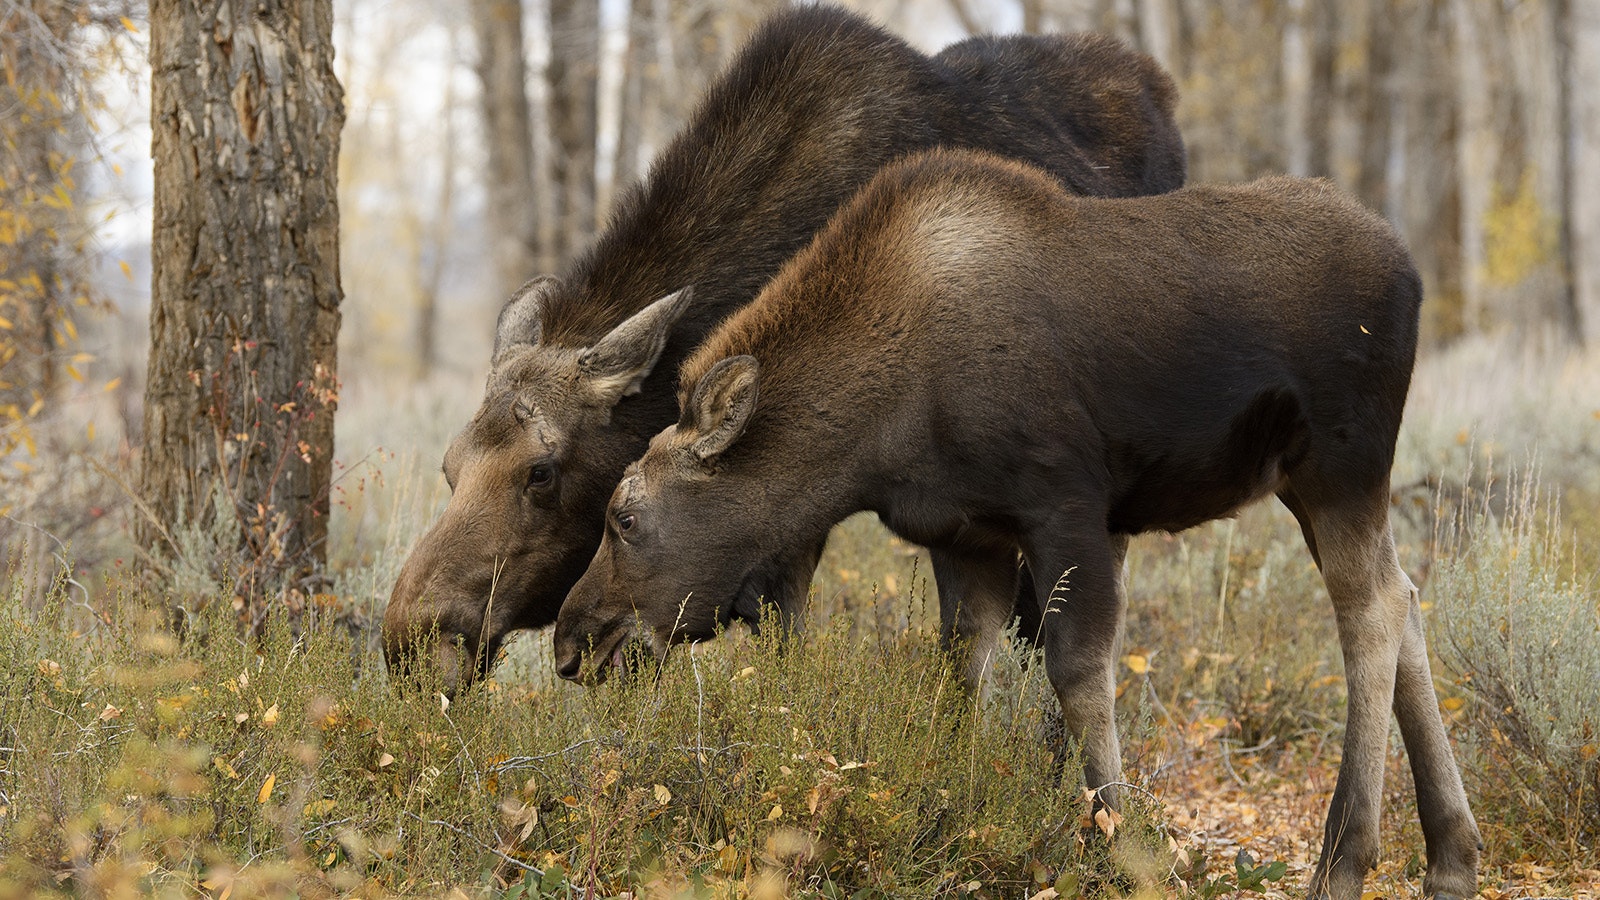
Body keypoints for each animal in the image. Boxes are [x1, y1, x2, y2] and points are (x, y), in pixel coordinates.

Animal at [551, 149, 1481, 900]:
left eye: (624, 516)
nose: (571, 641)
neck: (879, 427)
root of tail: (1412, 271)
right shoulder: (972, 537)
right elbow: (961, 676)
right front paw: (952, 821)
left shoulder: (1064, 504)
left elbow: (1077, 674)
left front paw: (1128, 852)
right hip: (1312, 483)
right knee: (1406, 593)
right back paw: (1450, 856)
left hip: (1340, 463)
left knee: (1369, 611)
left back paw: (1346, 857)